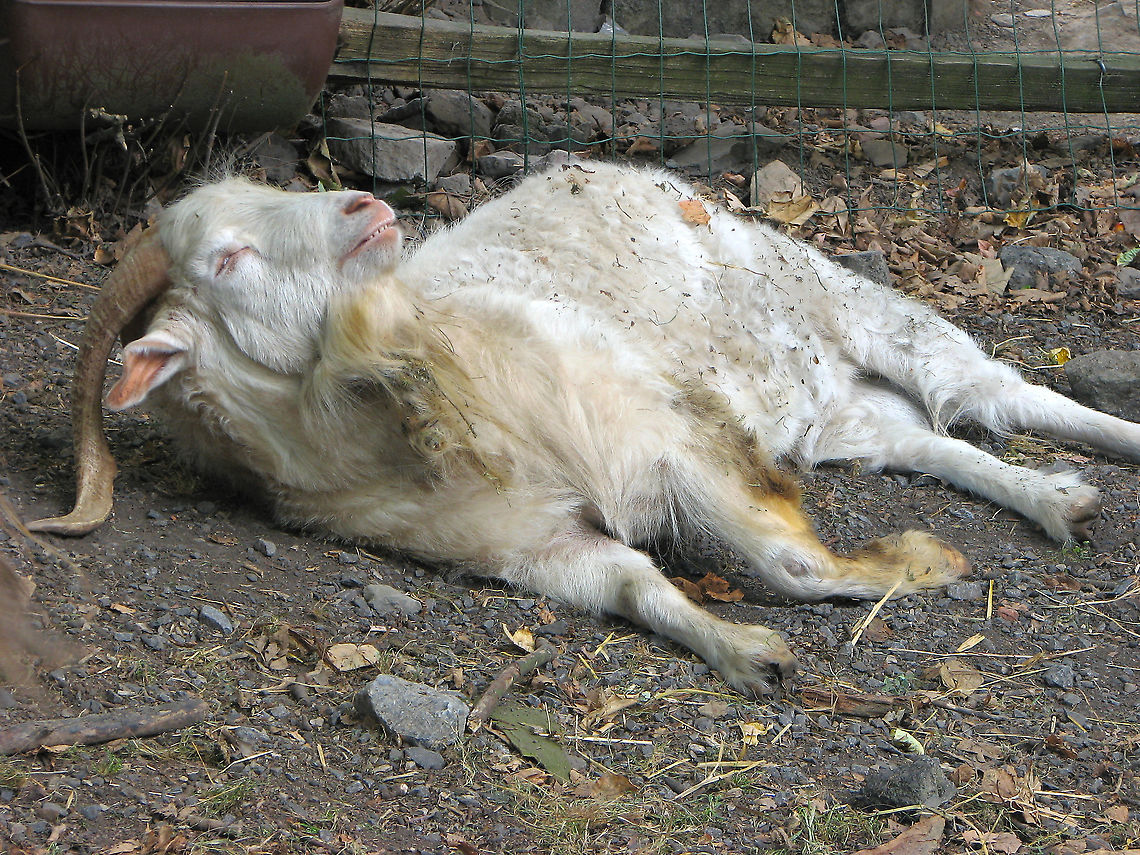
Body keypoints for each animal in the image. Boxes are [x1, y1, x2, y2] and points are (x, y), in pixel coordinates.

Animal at [28, 161, 1139, 696]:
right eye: (227, 257)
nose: (365, 208)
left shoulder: (667, 440)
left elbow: (789, 563)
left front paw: (910, 569)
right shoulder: (524, 548)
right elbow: (630, 583)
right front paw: (746, 651)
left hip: (827, 289)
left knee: (985, 385)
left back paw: (1099, 456)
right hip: (817, 400)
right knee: (923, 436)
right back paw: (1053, 500)